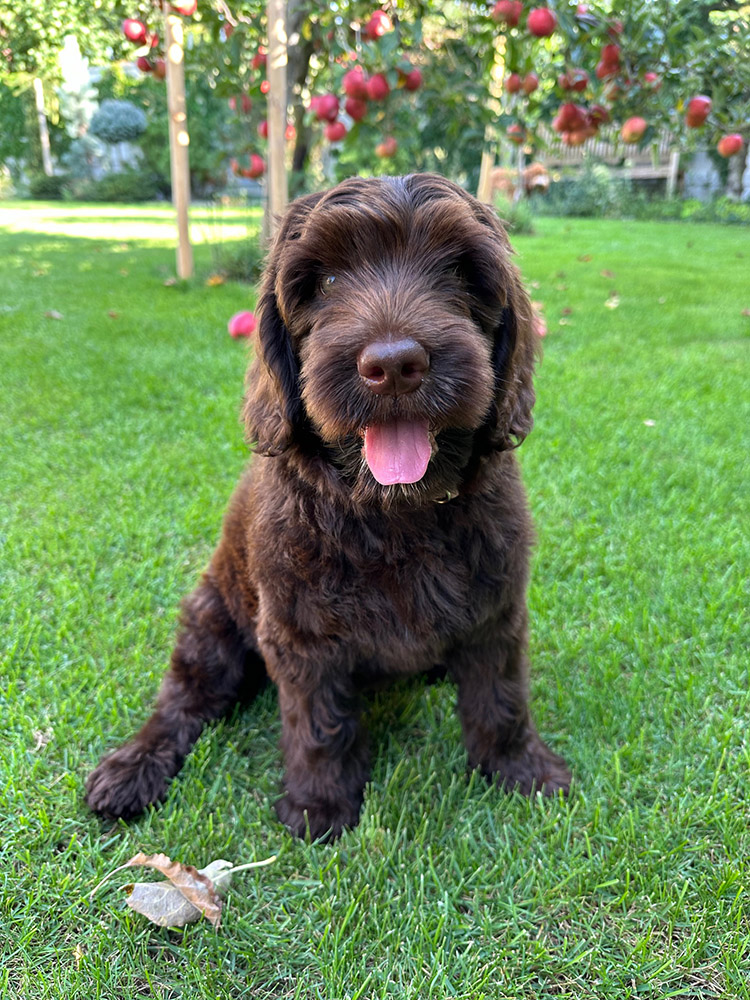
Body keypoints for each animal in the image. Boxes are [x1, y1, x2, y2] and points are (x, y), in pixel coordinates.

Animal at [86, 176, 568, 840]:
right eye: (329, 280)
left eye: (458, 272)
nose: (394, 365)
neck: (393, 512)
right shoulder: (301, 632)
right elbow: (318, 723)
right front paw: (319, 805)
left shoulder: (495, 609)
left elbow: (501, 697)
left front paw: (521, 768)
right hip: (211, 625)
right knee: (183, 701)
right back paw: (134, 767)